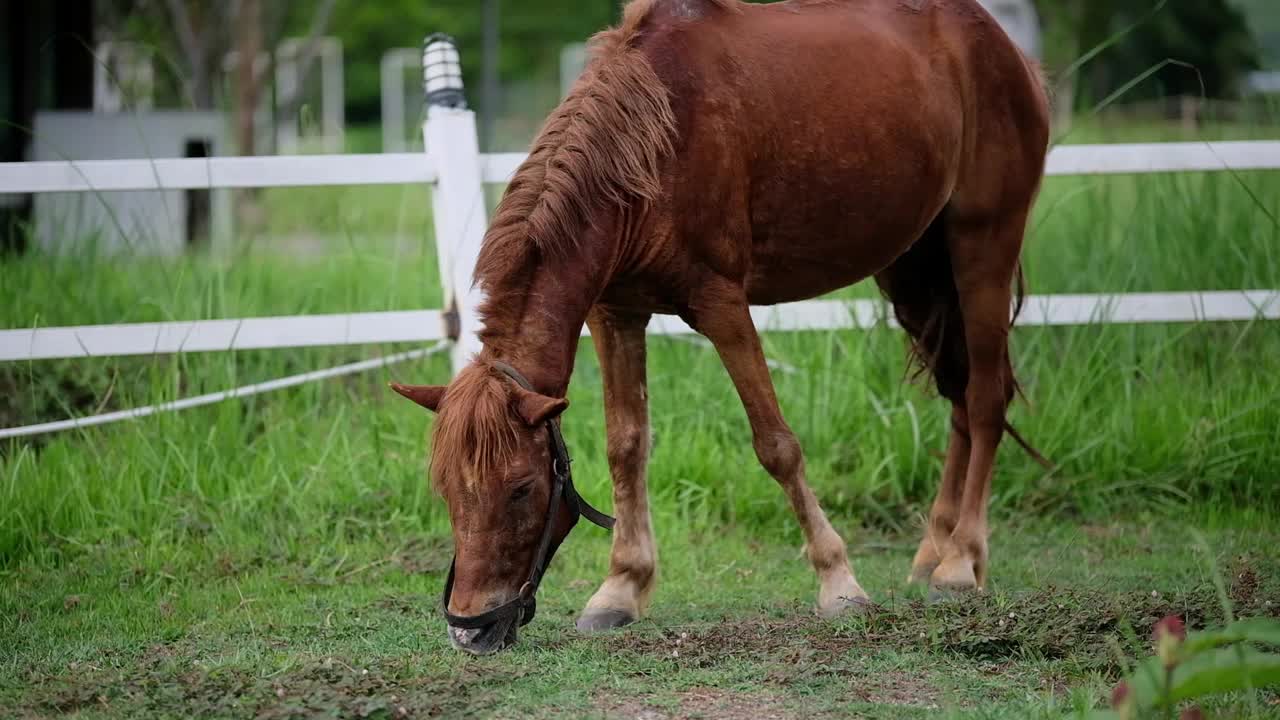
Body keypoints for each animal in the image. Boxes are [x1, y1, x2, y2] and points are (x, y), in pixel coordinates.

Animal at [391, 0, 1049, 653]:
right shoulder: (616, 312)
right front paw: (620, 589)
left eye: (523, 487)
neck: (652, 145)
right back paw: (934, 552)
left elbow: (777, 445)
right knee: (959, 393)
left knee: (985, 399)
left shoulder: (721, 305)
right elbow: (626, 445)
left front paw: (840, 584)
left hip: (982, 245)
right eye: (445, 488)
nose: (470, 630)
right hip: (913, 270)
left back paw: (960, 564)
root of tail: (1002, 45)